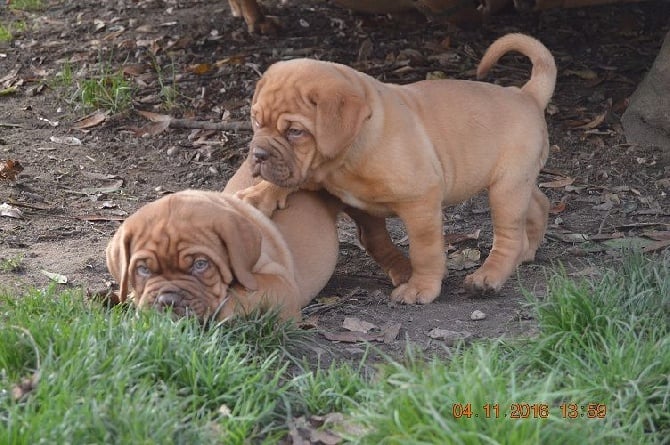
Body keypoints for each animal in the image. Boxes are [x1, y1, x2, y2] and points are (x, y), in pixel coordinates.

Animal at [239, 33, 560, 306]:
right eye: (256, 121)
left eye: (295, 132)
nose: (258, 154)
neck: (344, 159)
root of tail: (526, 95)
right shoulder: (348, 197)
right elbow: (375, 241)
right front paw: (259, 194)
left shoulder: (421, 201)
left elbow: (424, 250)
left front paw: (421, 287)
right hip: (515, 180)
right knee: (539, 203)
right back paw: (527, 251)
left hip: (506, 189)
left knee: (508, 235)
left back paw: (488, 276)